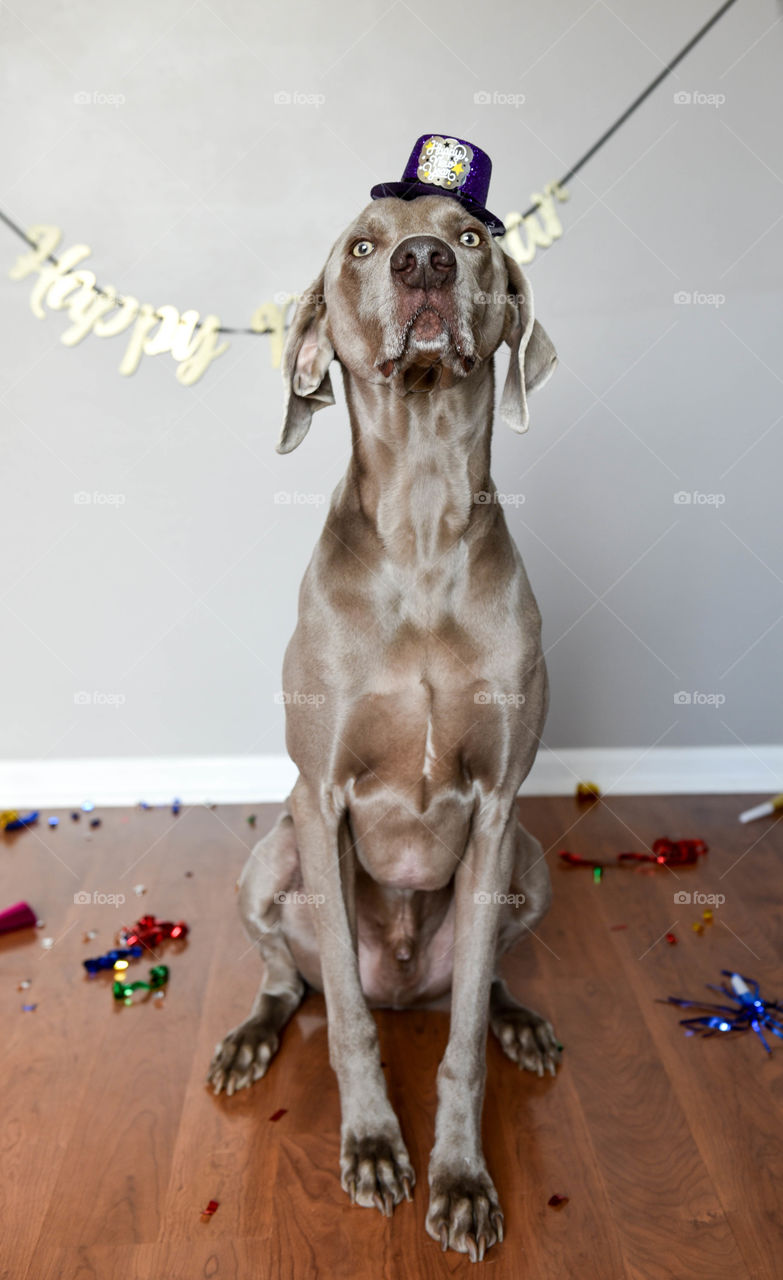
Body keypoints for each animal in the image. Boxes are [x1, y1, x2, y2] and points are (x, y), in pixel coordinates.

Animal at [208, 192, 560, 1259]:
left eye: (472, 235)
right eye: (362, 246)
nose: (424, 264)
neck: (423, 526)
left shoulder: (497, 811)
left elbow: (460, 1045)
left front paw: (461, 1182)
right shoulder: (319, 799)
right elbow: (353, 1029)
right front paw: (370, 1147)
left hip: (530, 864)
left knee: (479, 984)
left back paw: (517, 1020)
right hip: (270, 858)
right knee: (295, 982)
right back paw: (250, 1038)